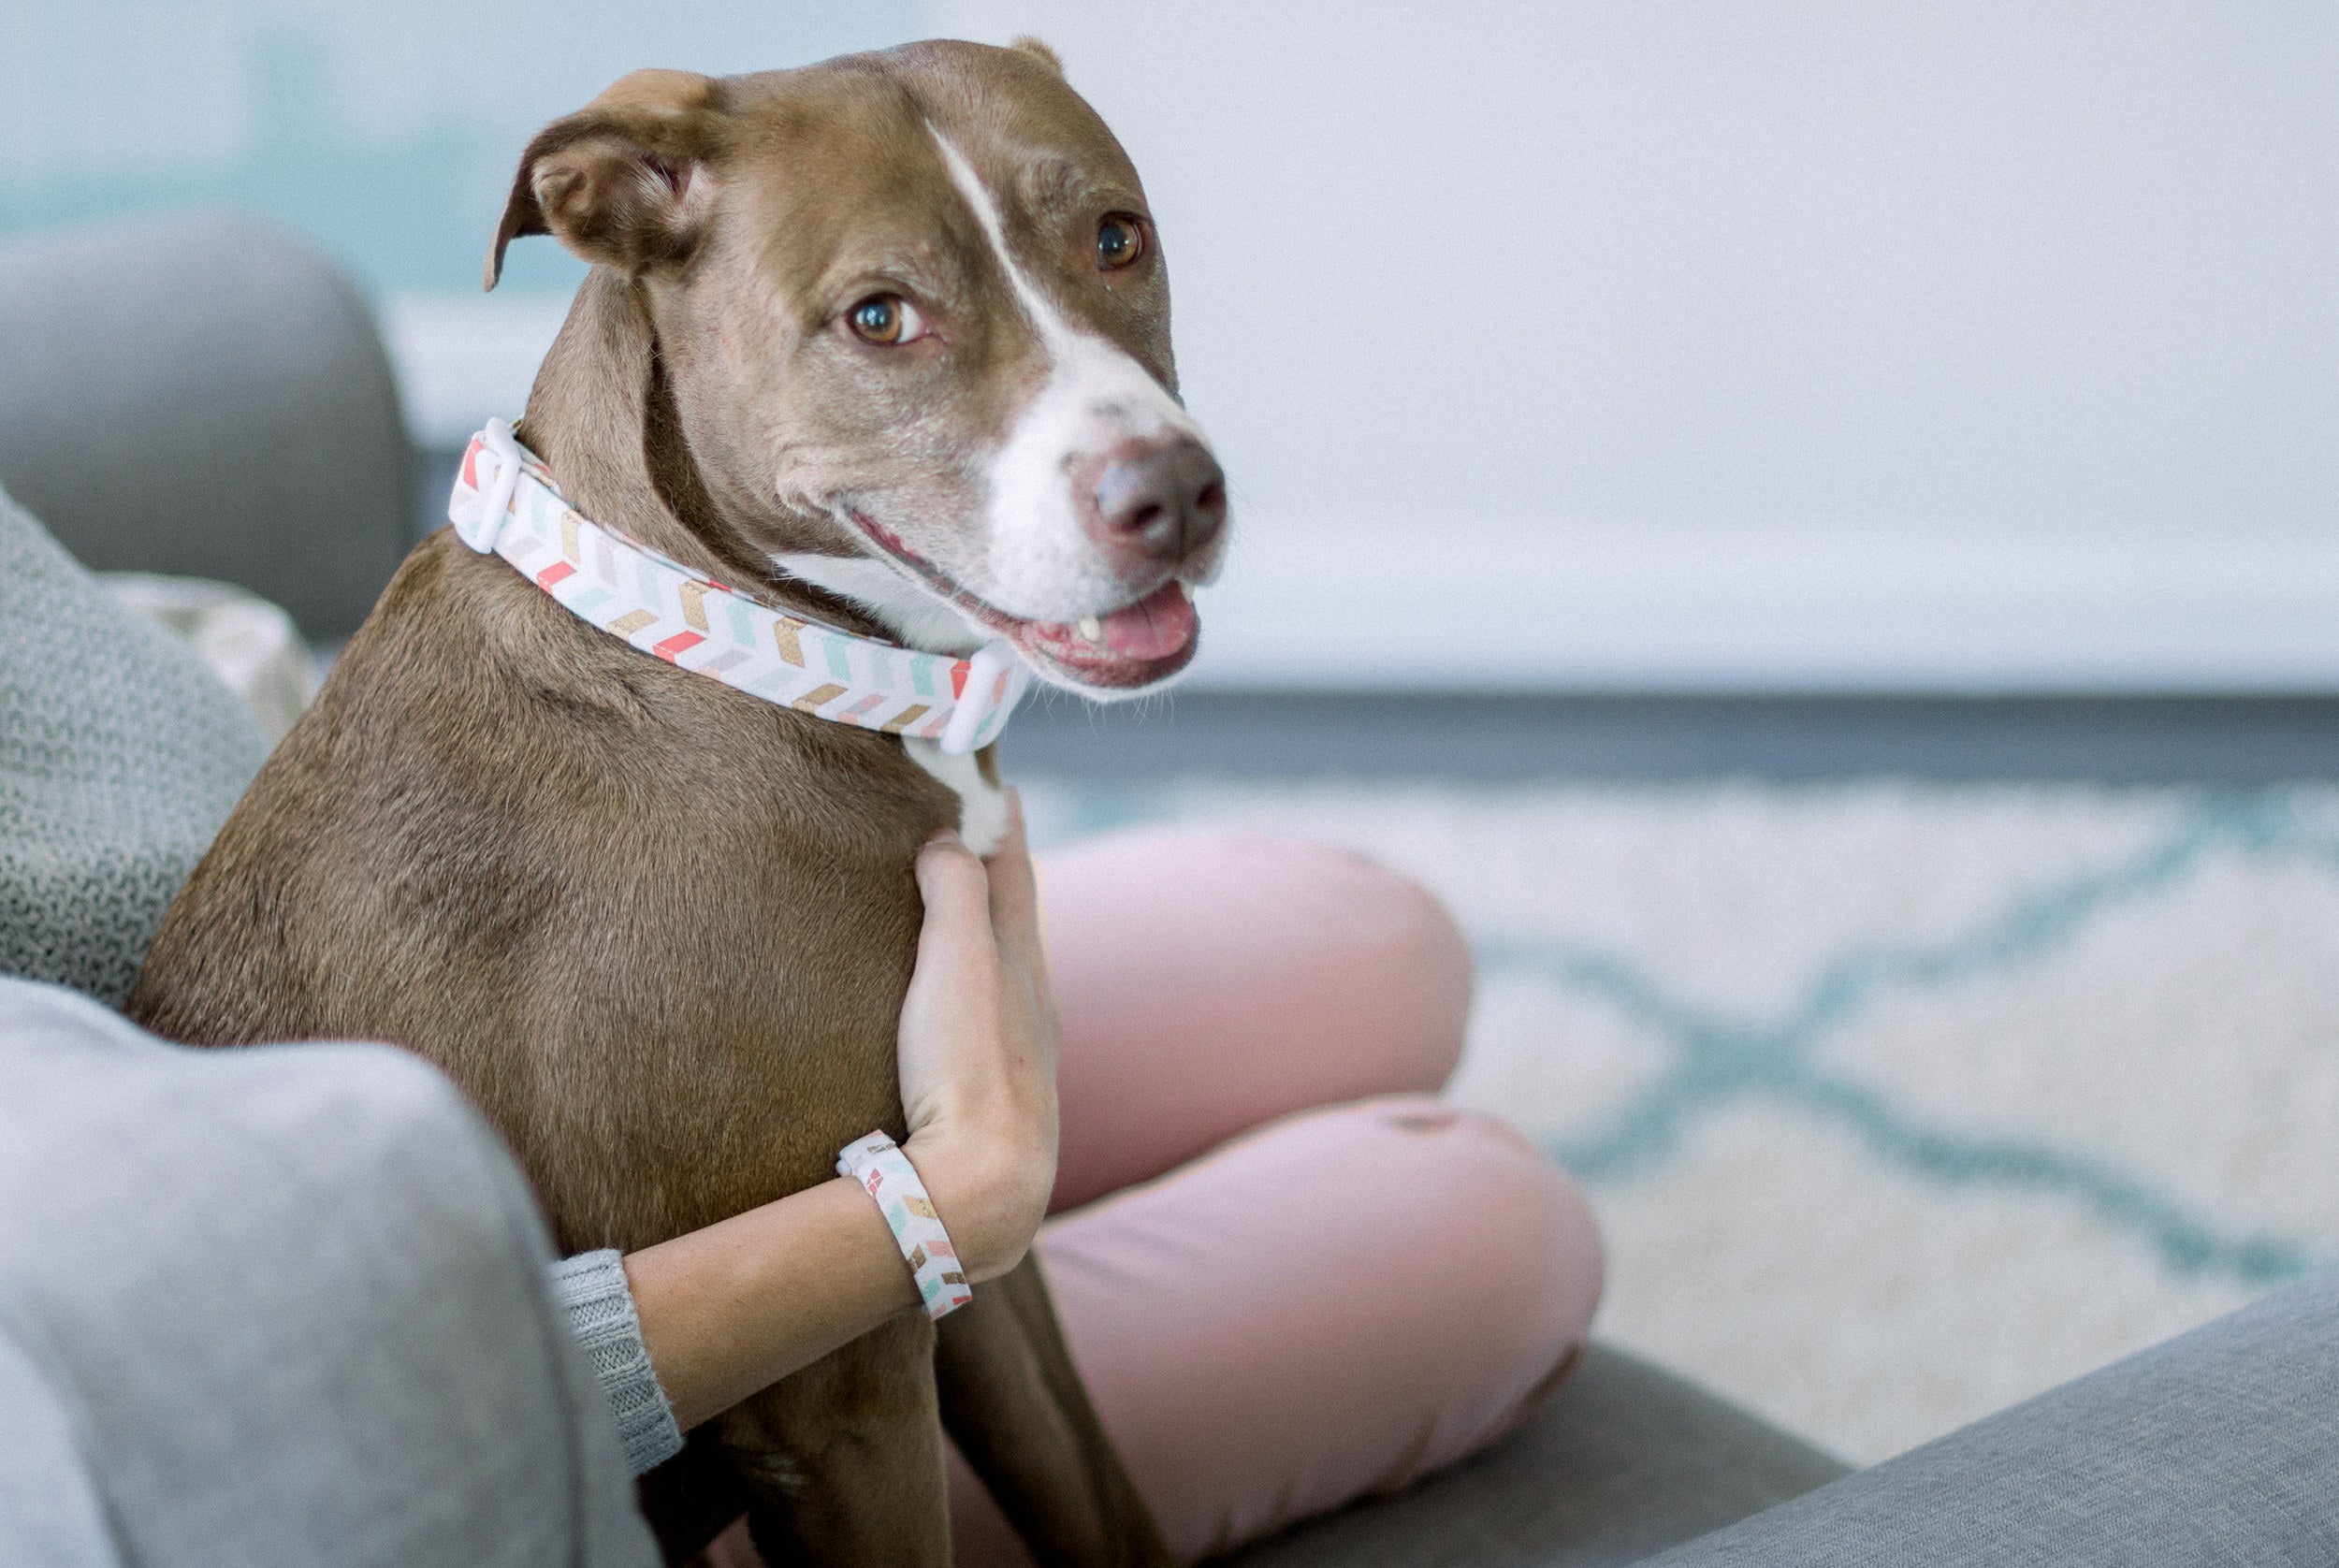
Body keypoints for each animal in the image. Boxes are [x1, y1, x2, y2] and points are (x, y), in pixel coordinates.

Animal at [132, 36, 1226, 1568]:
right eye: (879, 317)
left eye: (1118, 237)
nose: (1176, 495)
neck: (741, 649)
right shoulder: (842, 1377)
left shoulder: (982, 1255)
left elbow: (1094, 1490)